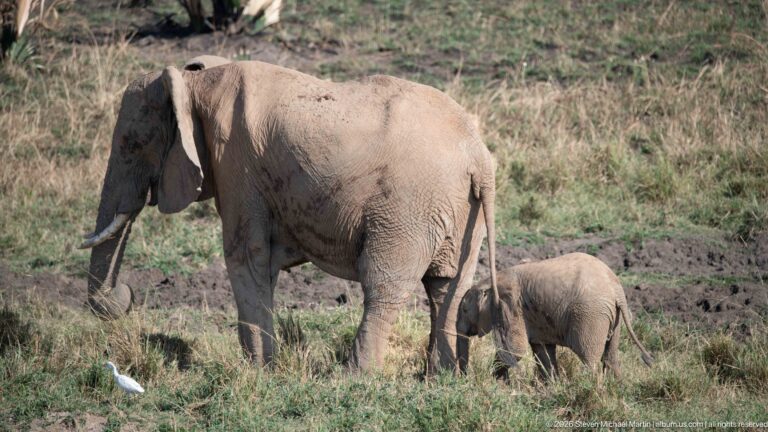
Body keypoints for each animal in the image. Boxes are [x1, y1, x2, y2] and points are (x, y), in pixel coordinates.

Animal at [79, 56, 499, 373]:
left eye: (132, 144)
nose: (126, 293)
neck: (197, 80)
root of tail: (478, 155)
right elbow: (263, 264)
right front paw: (263, 366)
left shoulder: (236, 165)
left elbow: (245, 256)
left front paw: (258, 371)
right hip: (461, 210)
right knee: (448, 288)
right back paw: (440, 377)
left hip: (408, 206)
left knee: (384, 284)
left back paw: (356, 376)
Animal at [458, 253, 653, 380]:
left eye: (465, 310)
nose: (464, 378)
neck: (492, 280)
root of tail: (616, 288)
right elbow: (542, 350)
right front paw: (549, 386)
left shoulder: (511, 307)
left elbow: (515, 350)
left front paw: (496, 383)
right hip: (615, 318)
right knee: (611, 357)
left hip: (591, 315)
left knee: (589, 359)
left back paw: (590, 389)